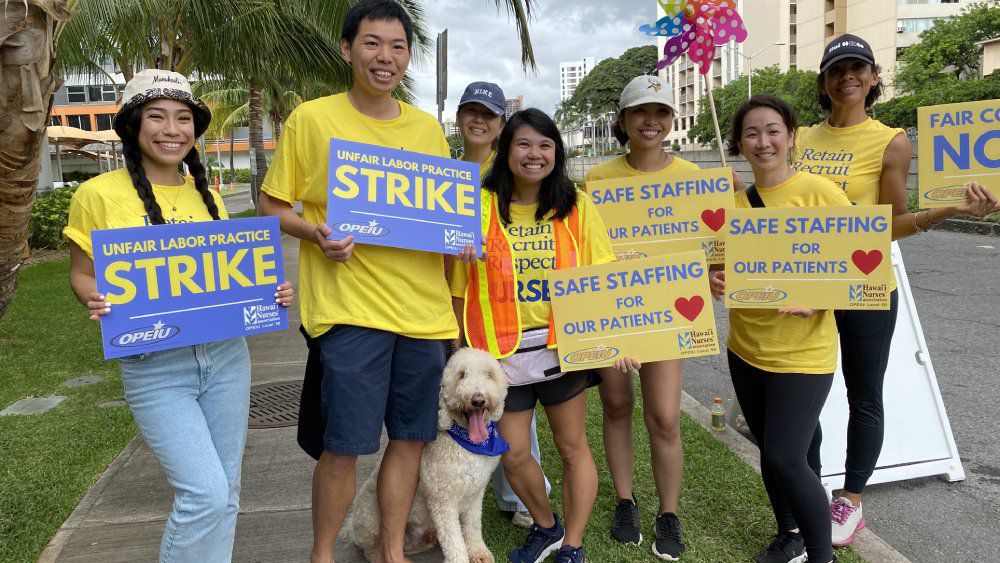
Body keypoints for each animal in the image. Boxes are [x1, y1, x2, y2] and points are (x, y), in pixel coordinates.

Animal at [350, 348, 508, 563]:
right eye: (461, 375)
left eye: (489, 374)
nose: (478, 399)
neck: (467, 444)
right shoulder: (443, 501)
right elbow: (453, 540)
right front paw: (459, 558)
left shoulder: (475, 494)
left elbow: (473, 526)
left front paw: (478, 552)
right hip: (369, 516)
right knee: (371, 548)